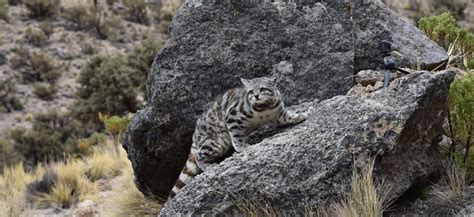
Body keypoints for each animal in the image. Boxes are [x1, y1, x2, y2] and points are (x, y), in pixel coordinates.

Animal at [168, 75, 306, 199]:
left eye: (262, 89)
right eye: (251, 91)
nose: (256, 96)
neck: (264, 108)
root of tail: (195, 134)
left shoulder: (279, 113)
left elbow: (288, 116)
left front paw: (299, 115)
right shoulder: (233, 116)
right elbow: (236, 135)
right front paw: (241, 147)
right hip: (217, 141)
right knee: (198, 155)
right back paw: (208, 165)